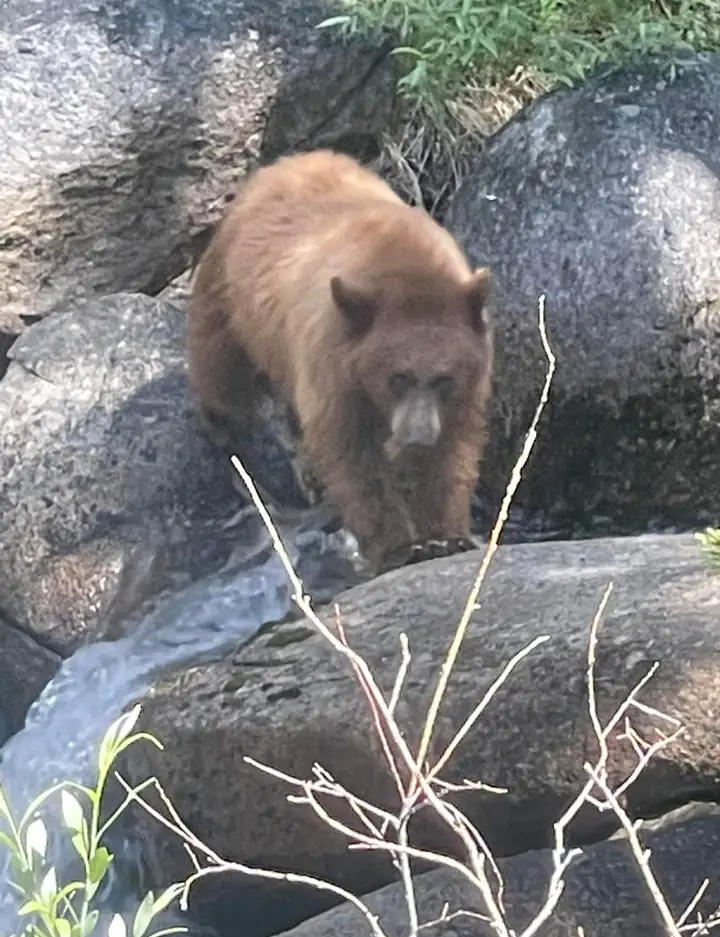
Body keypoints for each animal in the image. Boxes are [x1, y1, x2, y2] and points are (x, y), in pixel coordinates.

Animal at [186, 148, 494, 574]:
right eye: (397, 377)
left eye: (443, 378)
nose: (416, 435)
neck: (405, 269)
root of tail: (286, 162)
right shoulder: (334, 367)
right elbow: (355, 460)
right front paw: (400, 548)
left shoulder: (465, 386)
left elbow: (452, 450)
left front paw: (448, 536)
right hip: (232, 307)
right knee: (223, 378)